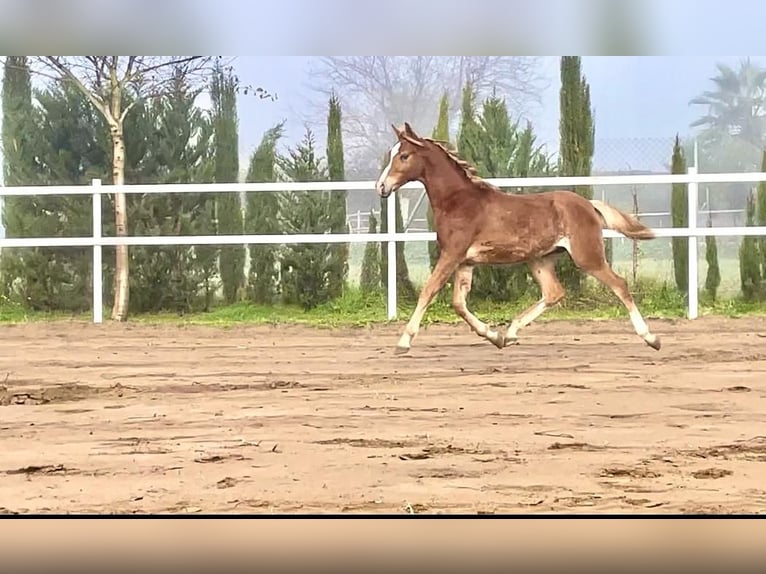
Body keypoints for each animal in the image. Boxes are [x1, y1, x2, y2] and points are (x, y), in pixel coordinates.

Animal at [376, 124, 664, 354]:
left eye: (404, 155)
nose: (381, 187)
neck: (460, 202)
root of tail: (589, 205)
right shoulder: (465, 262)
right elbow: (458, 303)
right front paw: (493, 336)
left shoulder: (451, 254)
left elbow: (428, 291)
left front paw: (403, 342)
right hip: (540, 259)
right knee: (554, 292)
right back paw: (510, 332)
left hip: (587, 257)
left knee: (620, 285)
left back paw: (651, 338)